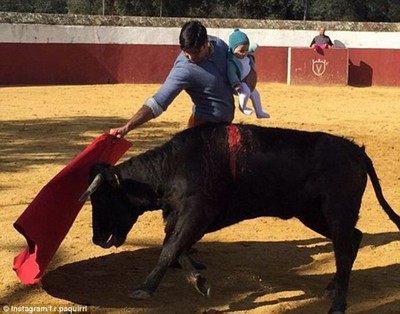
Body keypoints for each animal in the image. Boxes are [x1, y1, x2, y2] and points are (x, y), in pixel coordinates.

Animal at [79, 123, 398, 314]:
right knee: (352, 239)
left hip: (336, 211)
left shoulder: (196, 213)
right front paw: (199, 281)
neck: (173, 167)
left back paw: (338, 304)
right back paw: (333, 286)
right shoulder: (184, 217)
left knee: (344, 248)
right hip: (312, 214)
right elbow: (176, 249)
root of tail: (355, 150)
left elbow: (169, 249)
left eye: (102, 198)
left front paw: (144, 289)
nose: (97, 239)